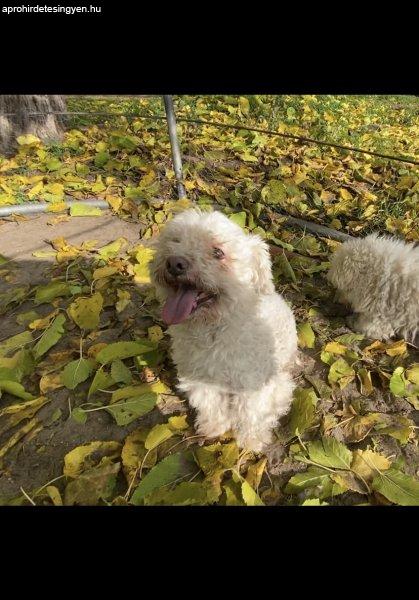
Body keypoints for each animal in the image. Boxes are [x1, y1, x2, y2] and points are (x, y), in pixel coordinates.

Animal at [151, 210, 298, 450]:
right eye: (175, 241)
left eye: (218, 252)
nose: (174, 263)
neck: (214, 329)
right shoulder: (200, 378)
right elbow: (209, 403)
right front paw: (213, 427)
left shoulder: (256, 384)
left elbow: (252, 412)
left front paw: (252, 440)